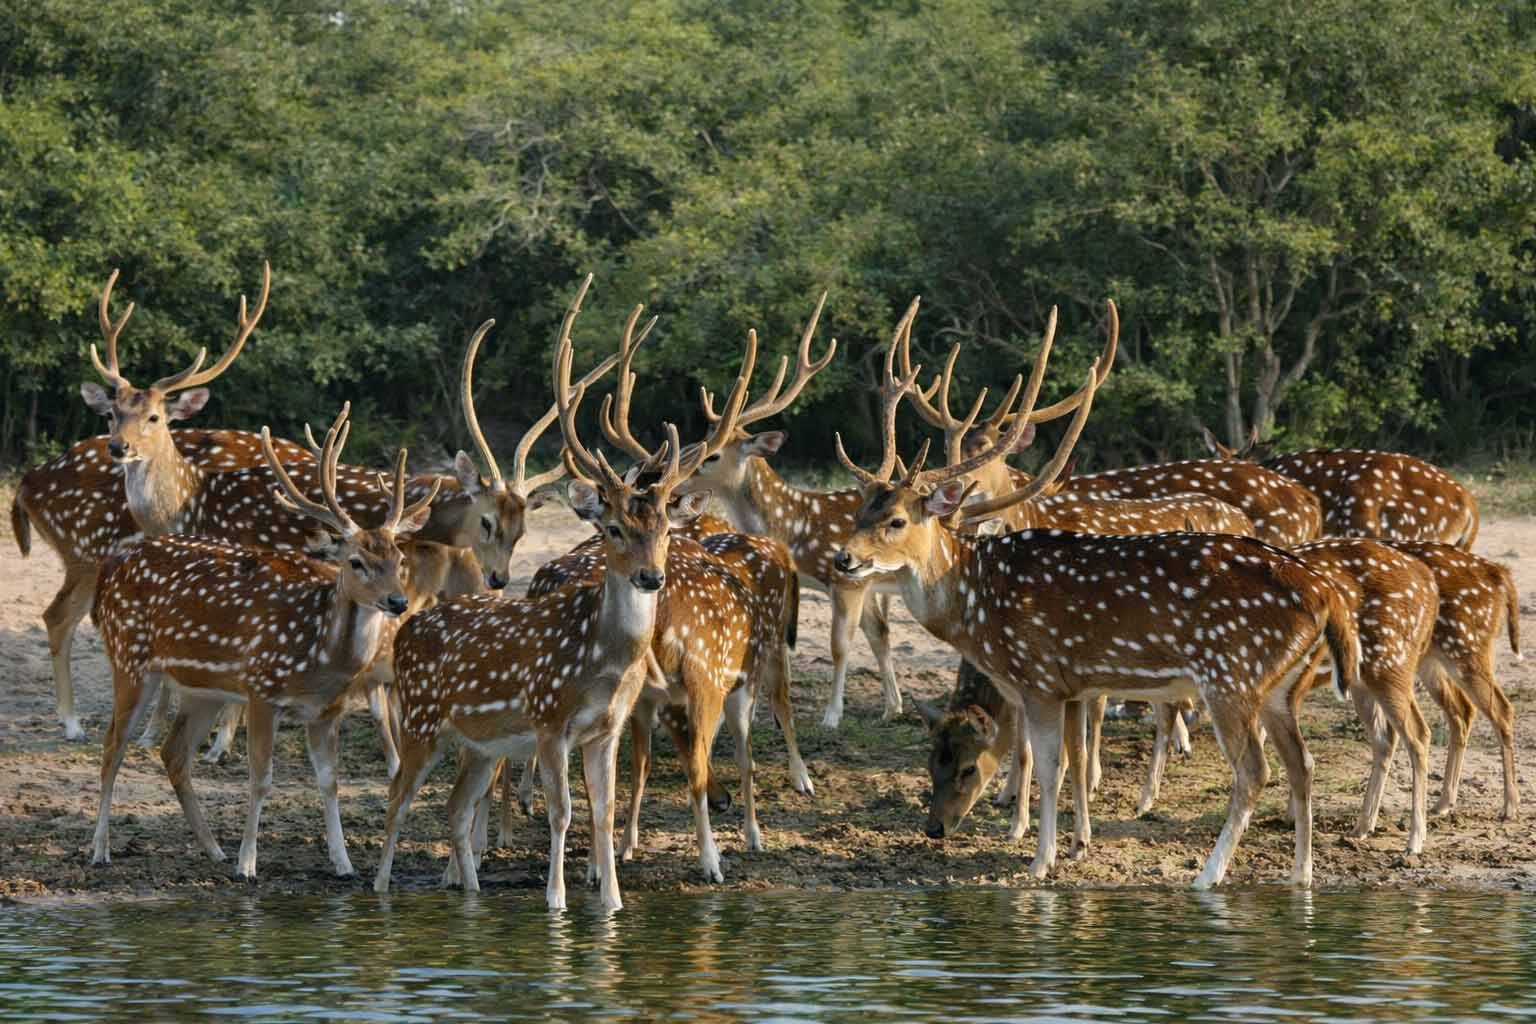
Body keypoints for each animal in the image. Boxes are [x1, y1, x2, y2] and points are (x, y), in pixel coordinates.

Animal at [91, 404, 440, 879]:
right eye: (356, 561)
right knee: (112, 744)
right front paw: (248, 864)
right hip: (129, 656)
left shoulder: (326, 710)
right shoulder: (261, 688)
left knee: (173, 752)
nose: (398, 601)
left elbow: (329, 781)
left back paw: (213, 849)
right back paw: (101, 849)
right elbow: (261, 776)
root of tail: (112, 570)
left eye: (398, 558)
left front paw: (344, 863)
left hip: (203, 688)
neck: (320, 654)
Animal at [374, 275, 751, 909]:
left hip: (479, 741)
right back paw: (377, 889)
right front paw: (556, 900)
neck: (600, 659)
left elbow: (600, 812)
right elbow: (562, 811)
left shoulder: (605, 730)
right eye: (614, 528)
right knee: (398, 796)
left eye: (664, 529)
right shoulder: (550, 721)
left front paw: (612, 901)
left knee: (453, 806)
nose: (650, 576)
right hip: (423, 718)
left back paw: (469, 890)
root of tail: (406, 631)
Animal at [830, 302, 1362, 888]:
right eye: (860, 512)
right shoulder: (1074, 685)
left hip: (1232, 675)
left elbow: (1050, 764)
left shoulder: (1038, 676)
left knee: (1254, 770)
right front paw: (1071, 844)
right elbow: (1074, 757)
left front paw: (1040, 860)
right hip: (1279, 686)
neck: (979, 605)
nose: (844, 558)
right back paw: (1300, 876)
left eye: (897, 520)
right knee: (1302, 763)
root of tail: (1325, 594)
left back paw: (1208, 876)